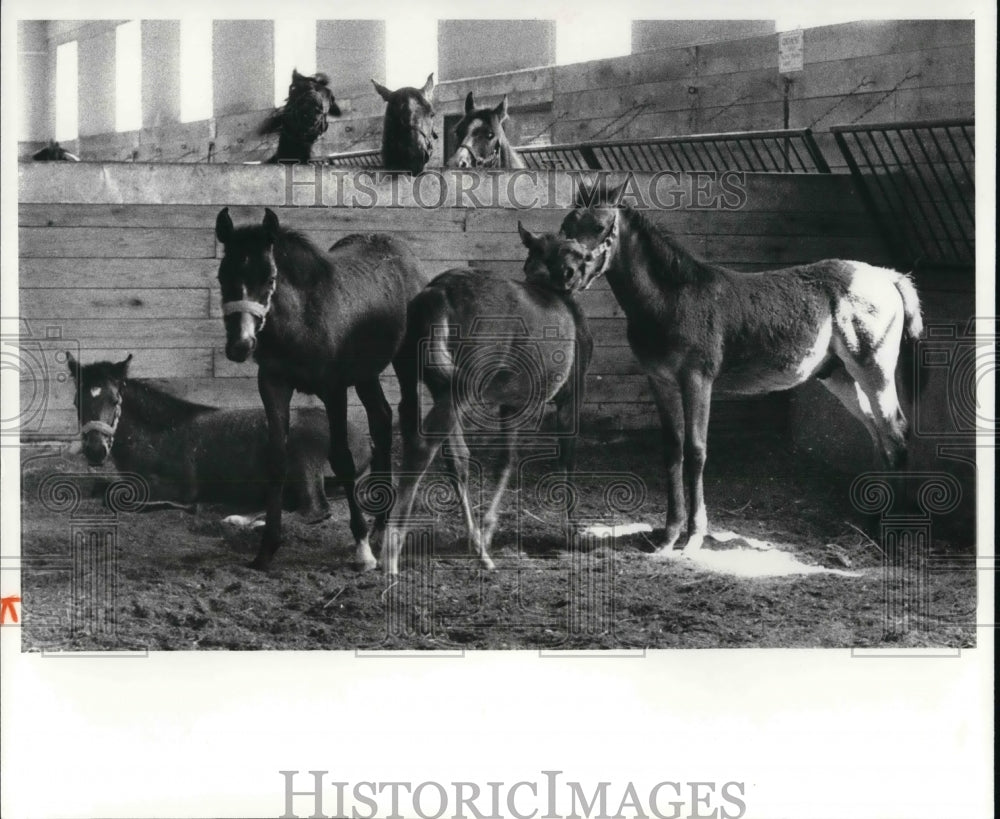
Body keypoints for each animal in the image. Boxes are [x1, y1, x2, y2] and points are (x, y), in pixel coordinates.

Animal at [66, 354, 372, 520]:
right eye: (77, 402)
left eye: (115, 400)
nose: (95, 450)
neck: (159, 434)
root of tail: (364, 444)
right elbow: (100, 488)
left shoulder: (175, 486)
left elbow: (116, 497)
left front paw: (191, 507)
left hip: (303, 455)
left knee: (313, 510)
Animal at [215, 210, 426, 572]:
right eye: (221, 276)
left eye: (270, 278)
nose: (241, 345)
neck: (302, 319)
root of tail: (403, 251)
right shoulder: (273, 384)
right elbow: (276, 458)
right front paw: (266, 549)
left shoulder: (334, 388)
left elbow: (342, 459)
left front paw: (362, 549)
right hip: (366, 373)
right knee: (381, 420)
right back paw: (381, 526)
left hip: (405, 359)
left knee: (407, 419)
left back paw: (391, 529)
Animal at [556, 188, 920, 556]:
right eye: (566, 225)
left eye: (600, 226)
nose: (567, 273)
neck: (673, 298)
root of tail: (889, 276)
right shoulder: (660, 381)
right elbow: (673, 449)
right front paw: (668, 535)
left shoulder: (697, 380)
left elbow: (696, 450)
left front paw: (694, 536)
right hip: (839, 375)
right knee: (879, 434)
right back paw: (869, 526)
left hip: (872, 370)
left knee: (896, 432)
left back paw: (893, 530)